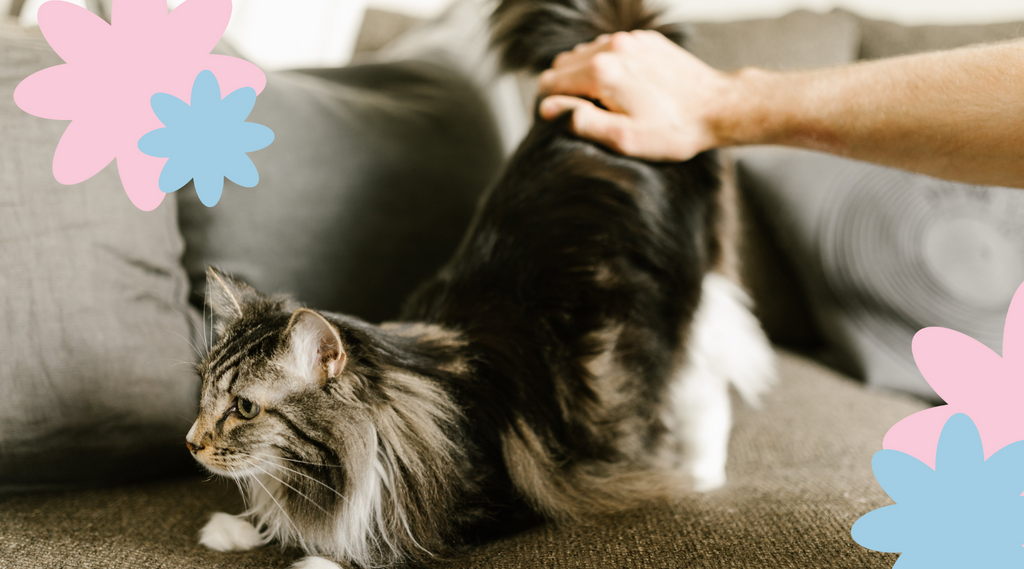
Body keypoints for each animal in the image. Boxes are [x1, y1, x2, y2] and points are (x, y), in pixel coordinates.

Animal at [186, 1, 774, 569]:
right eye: (204, 392)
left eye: (245, 409)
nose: (190, 444)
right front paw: (240, 528)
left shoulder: (496, 508)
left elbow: (360, 550)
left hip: (684, 309)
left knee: (710, 384)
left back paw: (700, 472)